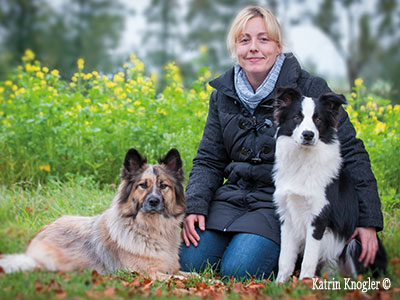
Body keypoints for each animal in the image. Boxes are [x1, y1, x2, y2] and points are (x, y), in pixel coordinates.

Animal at [0, 148, 187, 278]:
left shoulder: (173, 268)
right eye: (143, 185)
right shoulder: (145, 273)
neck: (152, 228)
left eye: (163, 186)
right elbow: (177, 279)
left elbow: (189, 274)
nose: (154, 201)